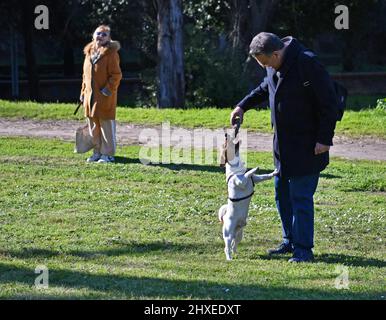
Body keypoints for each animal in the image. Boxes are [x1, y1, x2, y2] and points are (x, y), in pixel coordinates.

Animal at [217, 125, 278, 260]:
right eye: (225, 142)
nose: (225, 134)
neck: (236, 169)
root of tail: (224, 217)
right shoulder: (241, 181)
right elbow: (247, 174)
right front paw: (254, 168)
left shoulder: (255, 179)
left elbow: (264, 176)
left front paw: (275, 172)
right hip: (228, 233)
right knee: (227, 246)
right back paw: (229, 258)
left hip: (240, 234)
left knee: (234, 243)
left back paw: (235, 252)